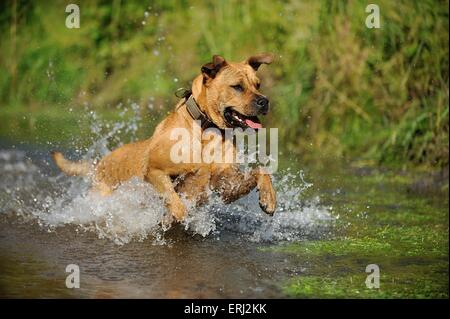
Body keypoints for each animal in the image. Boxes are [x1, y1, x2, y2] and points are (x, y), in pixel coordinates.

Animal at [53, 54, 278, 225]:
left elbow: (260, 170)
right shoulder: (154, 171)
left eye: (258, 85)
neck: (207, 130)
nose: (265, 101)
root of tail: (99, 165)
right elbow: (174, 198)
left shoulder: (225, 187)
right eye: (237, 87)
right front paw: (175, 215)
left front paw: (268, 198)